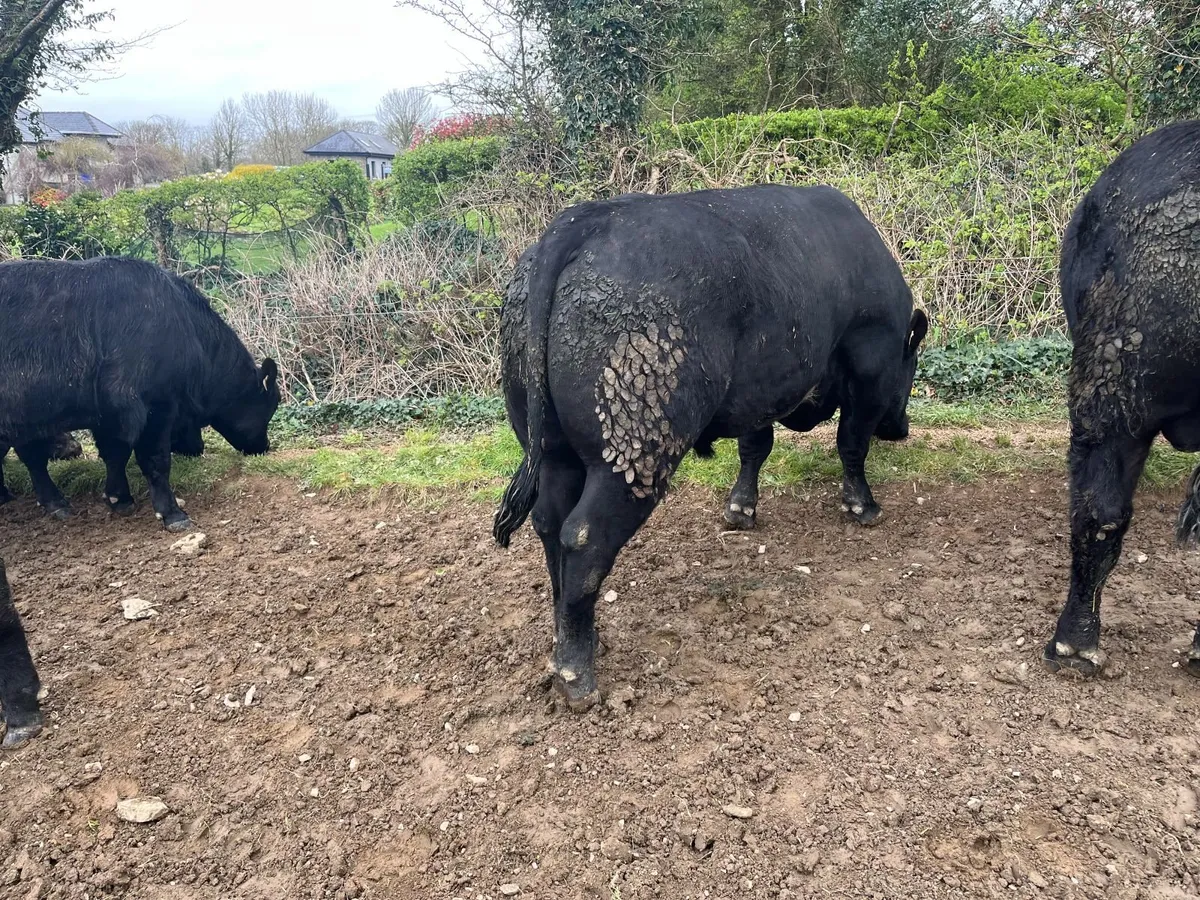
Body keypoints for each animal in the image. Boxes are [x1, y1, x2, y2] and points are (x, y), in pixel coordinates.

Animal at [0, 257, 280, 532]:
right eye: (270, 406)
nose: (264, 446)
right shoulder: (153, 406)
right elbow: (155, 459)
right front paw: (171, 513)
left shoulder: (109, 414)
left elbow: (115, 454)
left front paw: (119, 498)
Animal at [493, 185, 927, 708]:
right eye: (911, 365)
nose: (900, 429)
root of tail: (581, 221)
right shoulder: (868, 370)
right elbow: (851, 445)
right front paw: (864, 506)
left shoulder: (759, 393)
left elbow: (755, 447)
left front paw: (740, 510)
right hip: (635, 449)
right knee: (583, 537)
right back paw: (577, 674)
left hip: (553, 451)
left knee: (549, 524)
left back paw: (575, 639)